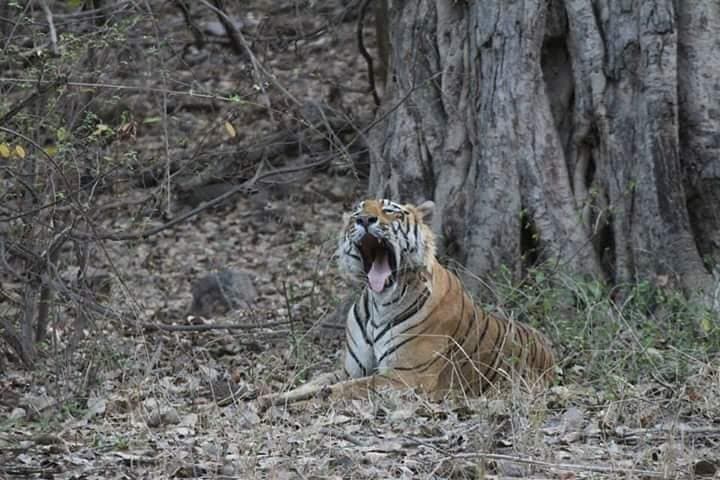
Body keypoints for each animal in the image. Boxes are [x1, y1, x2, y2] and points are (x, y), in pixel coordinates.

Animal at [258, 199, 555, 409]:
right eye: (355, 214)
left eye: (390, 211)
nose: (364, 219)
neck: (379, 302)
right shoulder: (350, 369)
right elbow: (312, 383)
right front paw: (271, 397)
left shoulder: (406, 376)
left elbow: (348, 388)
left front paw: (308, 402)